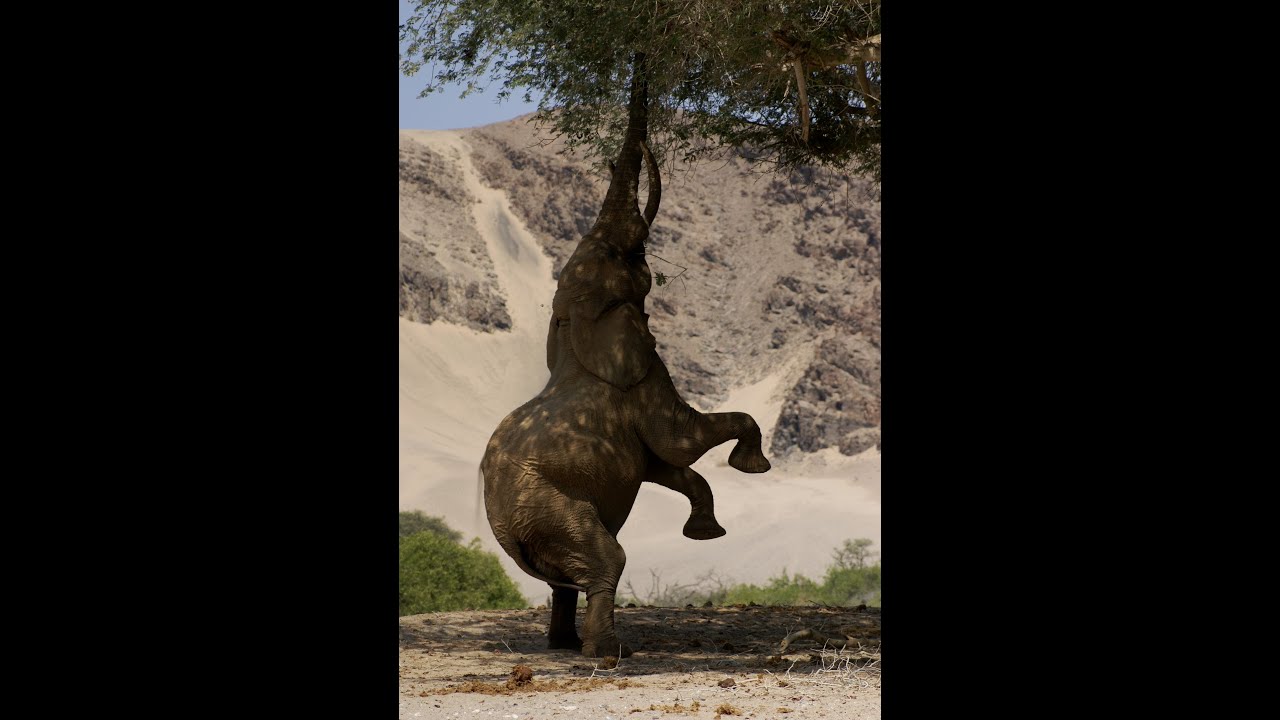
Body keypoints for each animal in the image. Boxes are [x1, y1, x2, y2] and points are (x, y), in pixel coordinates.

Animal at [481, 61, 770, 658]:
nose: (643, 59)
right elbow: (680, 442)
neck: (576, 323)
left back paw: (565, 645)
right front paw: (752, 466)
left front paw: (706, 532)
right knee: (604, 561)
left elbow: (666, 466)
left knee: (566, 579)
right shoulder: (644, 376)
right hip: (550, 506)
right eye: (634, 253)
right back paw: (609, 653)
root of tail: (506, 528)